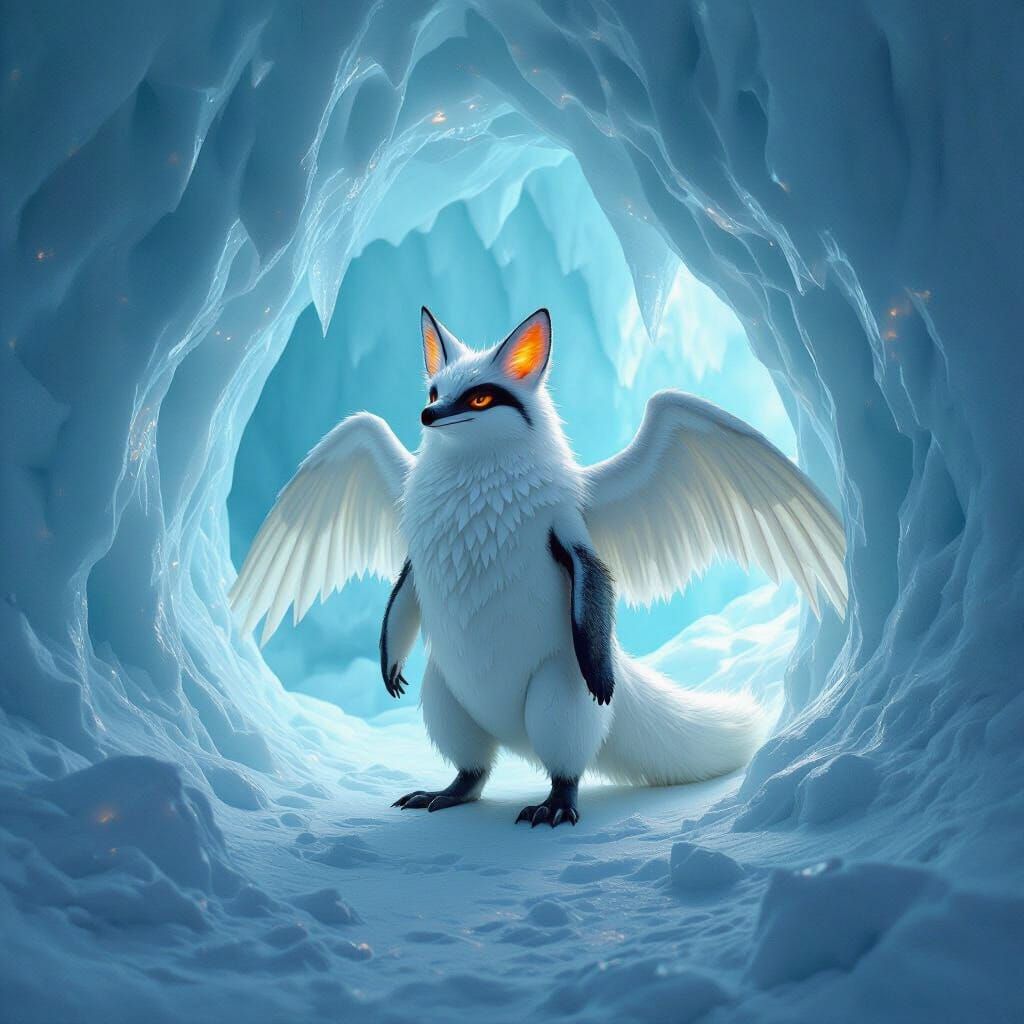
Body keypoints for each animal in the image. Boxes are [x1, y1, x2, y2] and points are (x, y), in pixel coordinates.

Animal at [230, 308, 847, 826]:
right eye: (435, 390)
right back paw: (441, 794)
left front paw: (602, 682)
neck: (472, 471)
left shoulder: (569, 533)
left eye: (480, 398)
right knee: (474, 768)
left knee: (565, 760)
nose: (427, 414)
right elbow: (399, 592)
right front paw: (389, 670)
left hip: (555, 691)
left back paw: (554, 805)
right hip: (447, 692)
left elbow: (592, 577)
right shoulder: (411, 544)